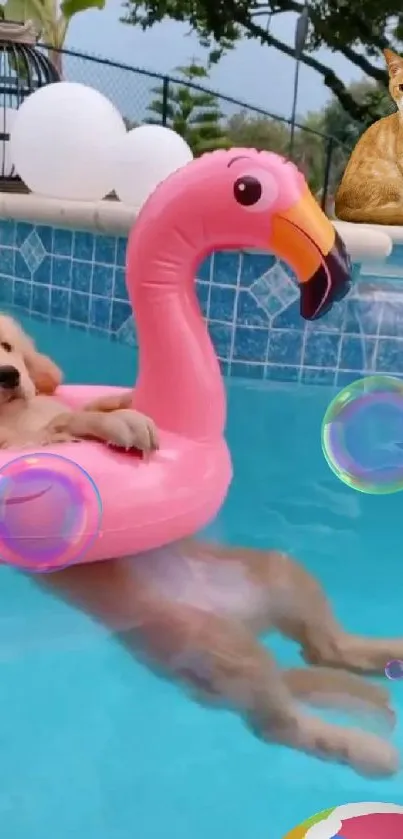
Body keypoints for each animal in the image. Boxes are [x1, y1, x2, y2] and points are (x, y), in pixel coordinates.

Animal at [0, 316, 158, 456]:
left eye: (6, 346)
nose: (9, 375)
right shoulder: (21, 439)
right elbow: (63, 421)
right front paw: (117, 421)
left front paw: (122, 403)